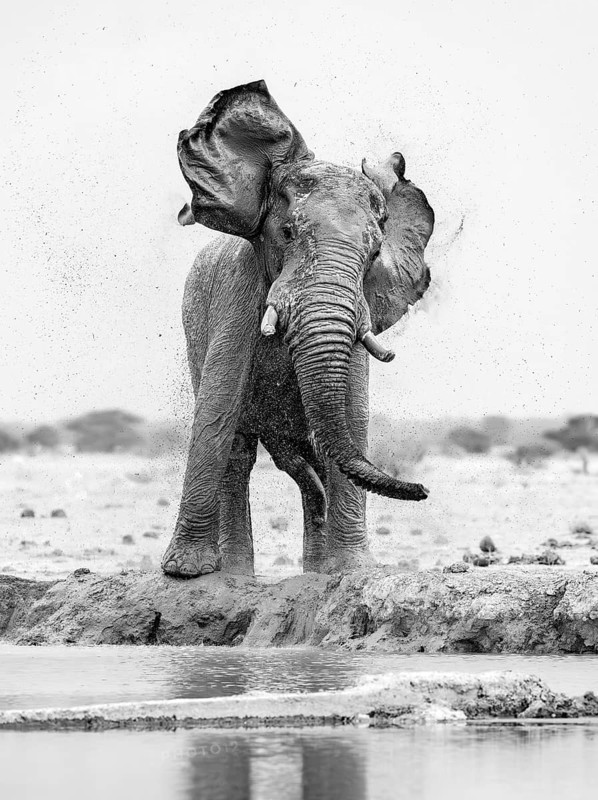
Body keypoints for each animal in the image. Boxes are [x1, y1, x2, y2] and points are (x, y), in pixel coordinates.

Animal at [161, 80, 434, 579]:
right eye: (287, 233)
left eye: (373, 253)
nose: (422, 489)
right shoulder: (236, 293)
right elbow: (217, 411)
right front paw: (184, 573)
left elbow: (353, 413)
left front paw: (353, 570)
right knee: (244, 451)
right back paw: (235, 573)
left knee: (309, 457)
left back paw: (315, 567)